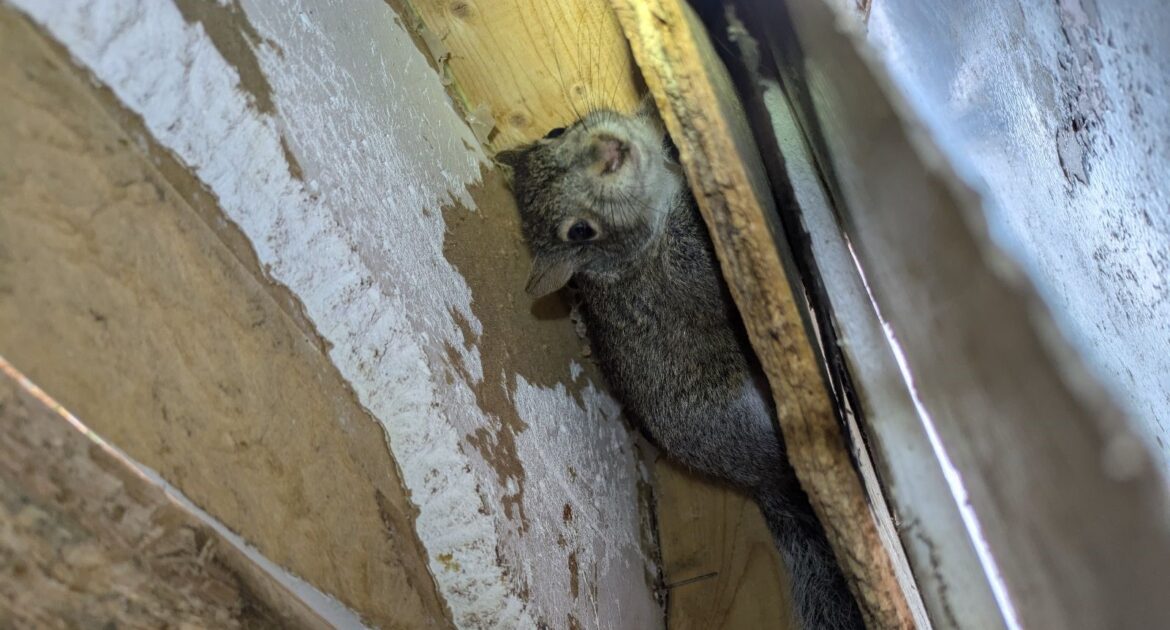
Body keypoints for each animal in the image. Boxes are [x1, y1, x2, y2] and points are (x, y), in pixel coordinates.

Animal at [496, 102, 865, 630]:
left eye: (555, 130)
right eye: (580, 231)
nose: (608, 151)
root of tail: (758, 480)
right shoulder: (683, 267)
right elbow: (710, 270)